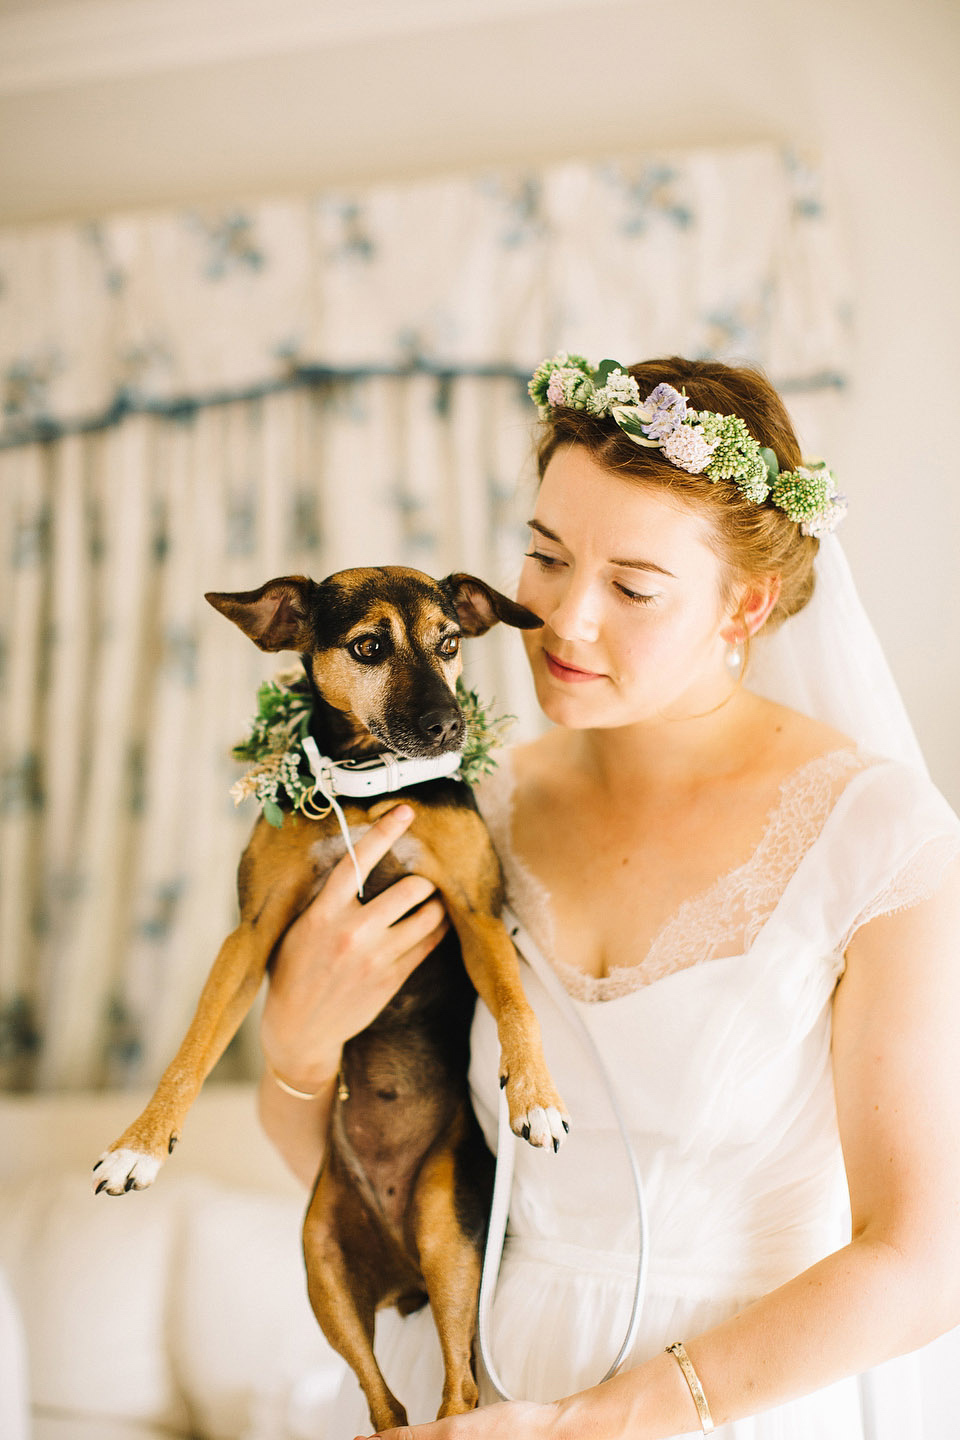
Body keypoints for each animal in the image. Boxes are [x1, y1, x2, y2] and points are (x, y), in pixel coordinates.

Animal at [92, 561, 567, 1428]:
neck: (368, 791)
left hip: (450, 1230)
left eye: (450, 642)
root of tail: (401, 1272)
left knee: (458, 1390)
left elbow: (518, 1005)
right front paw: (139, 1145)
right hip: (321, 1263)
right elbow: (192, 1046)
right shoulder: (250, 936)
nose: (450, 725)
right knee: (387, 1408)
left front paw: (536, 1097)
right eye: (369, 646)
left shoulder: (477, 913)